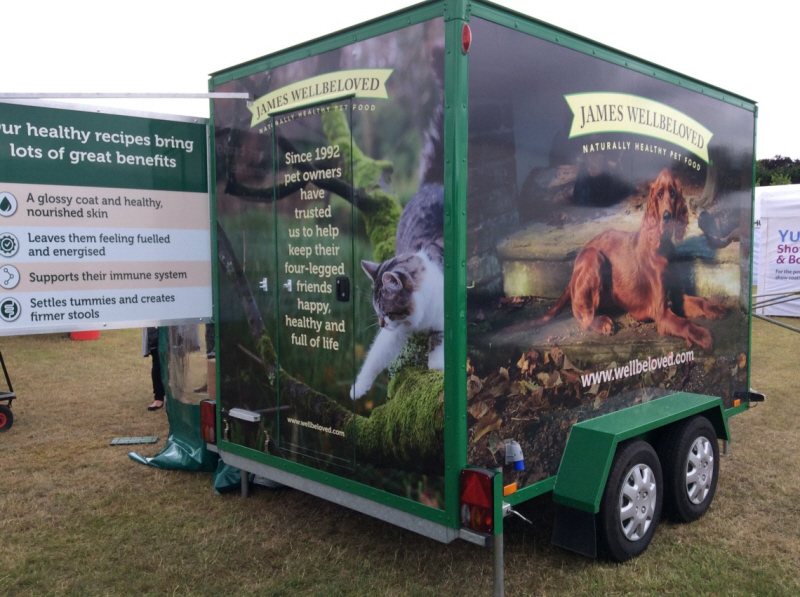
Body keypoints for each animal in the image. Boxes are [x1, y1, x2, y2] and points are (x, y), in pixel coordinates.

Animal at [534, 169, 726, 350]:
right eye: (659, 195)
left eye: (673, 193)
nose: (667, 216)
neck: (661, 244)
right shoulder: (661, 312)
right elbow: (685, 323)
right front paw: (703, 335)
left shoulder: (677, 296)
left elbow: (701, 301)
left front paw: (716, 308)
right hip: (594, 257)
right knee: (581, 313)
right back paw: (602, 323)